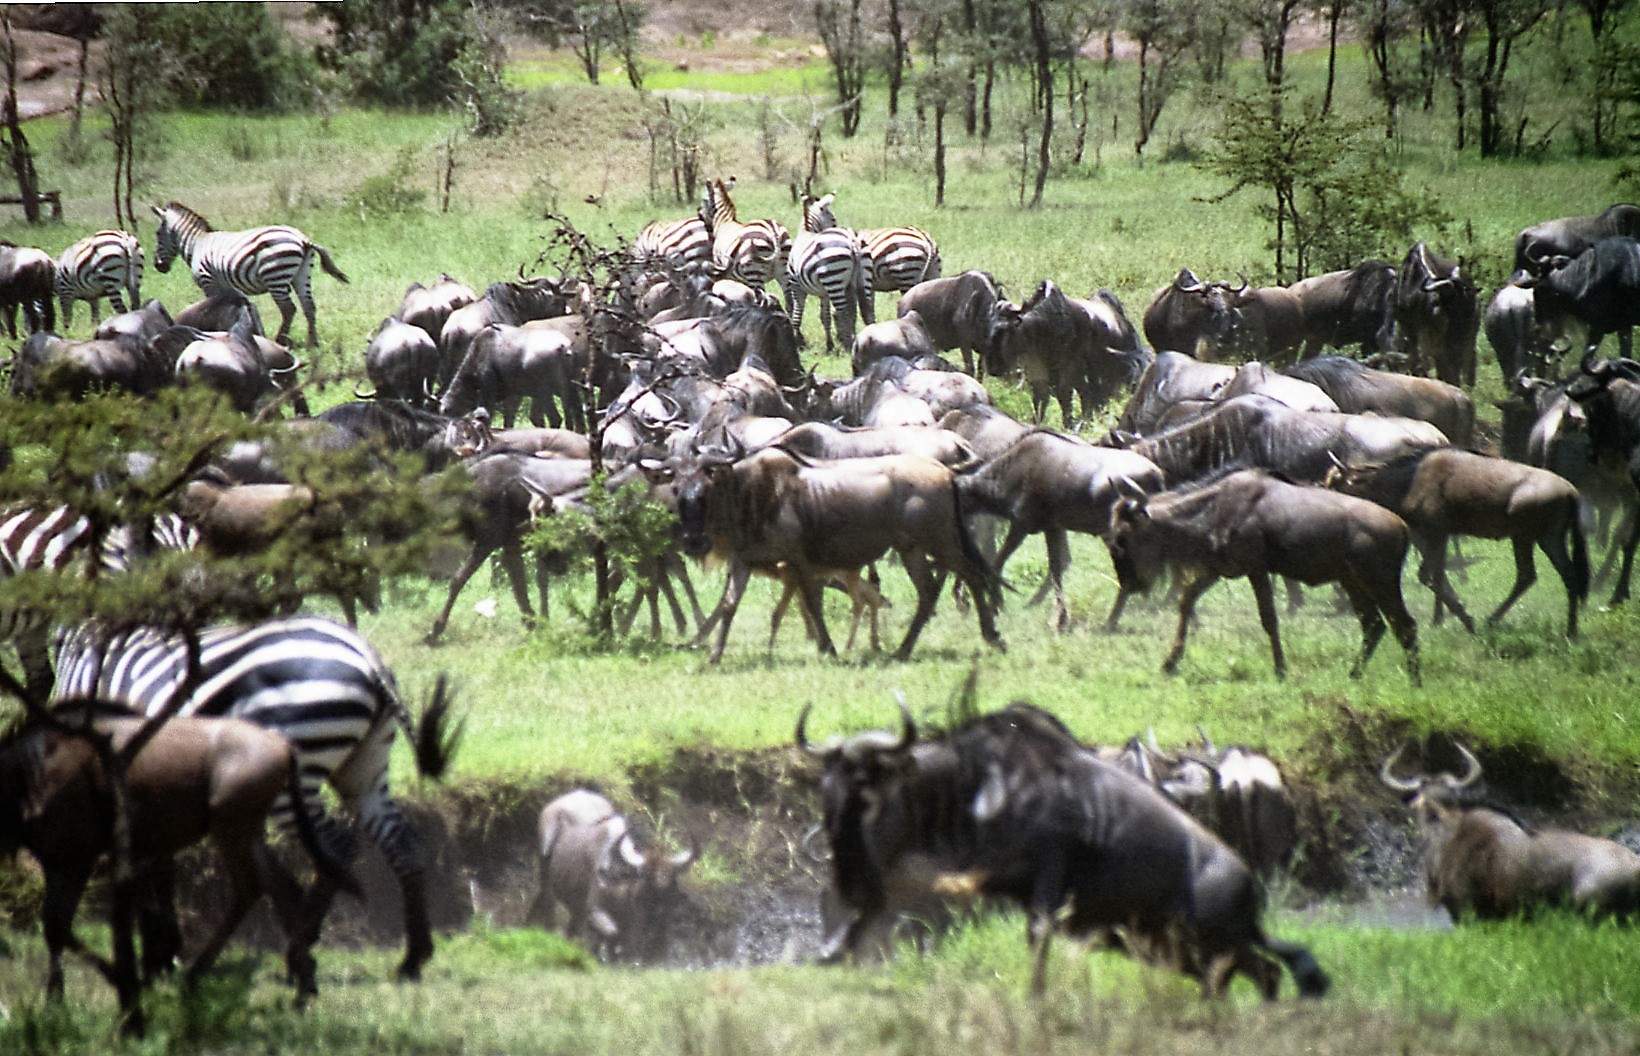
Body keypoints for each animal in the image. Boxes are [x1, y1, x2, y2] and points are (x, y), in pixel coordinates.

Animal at [52, 613, 462, 983]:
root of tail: (365, 655)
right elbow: (164, 866)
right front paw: (164, 952)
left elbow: (146, 873)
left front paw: (159, 956)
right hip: (365, 768)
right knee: (402, 843)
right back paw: (412, 958)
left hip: (297, 767)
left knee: (336, 848)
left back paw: (300, 951)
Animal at [150, 204, 349, 352]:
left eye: (157, 234)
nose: (159, 266)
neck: (197, 244)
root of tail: (303, 239)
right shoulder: (227, 288)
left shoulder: (208, 282)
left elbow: (212, 308)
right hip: (302, 274)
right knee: (309, 306)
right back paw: (312, 343)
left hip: (275, 275)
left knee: (288, 309)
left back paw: (281, 340)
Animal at [780, 191, 872, 352]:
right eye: (833, 219)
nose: (837, 225)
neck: (806, 231)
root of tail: (852, 241)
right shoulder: (824, 293)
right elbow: (825, 317)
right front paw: (829, 345)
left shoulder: (796, 285)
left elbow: (798, 313)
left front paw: (797, 341)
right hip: (860, 279)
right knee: (865, 310)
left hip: (833, 279)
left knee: (843, 312)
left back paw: (848, 345)